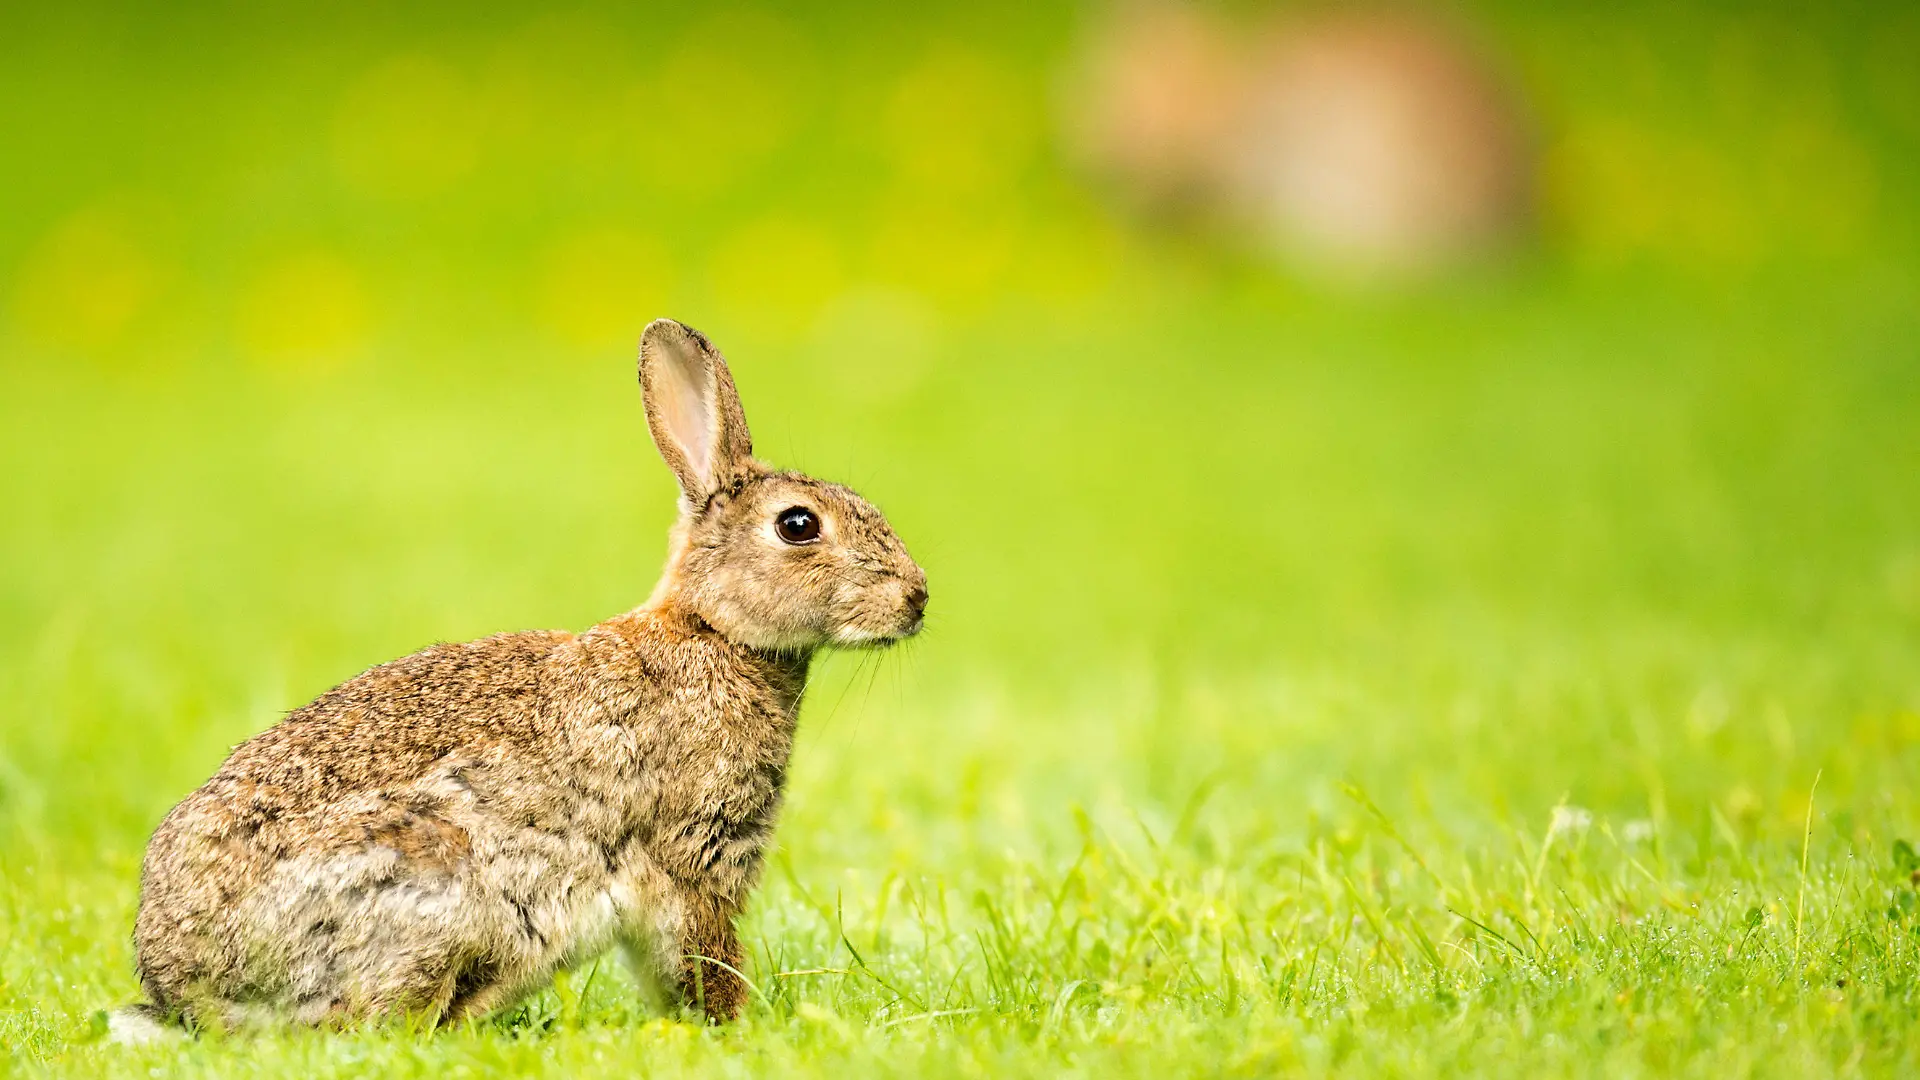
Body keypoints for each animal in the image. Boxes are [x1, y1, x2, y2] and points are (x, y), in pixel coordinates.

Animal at [110, 318, 928, 1040]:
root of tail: (184, 991)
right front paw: (734, 1028)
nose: (917, 598)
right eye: (798, 525)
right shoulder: (693, 860)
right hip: (435, 885)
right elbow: (702, 959)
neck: (714, 635)